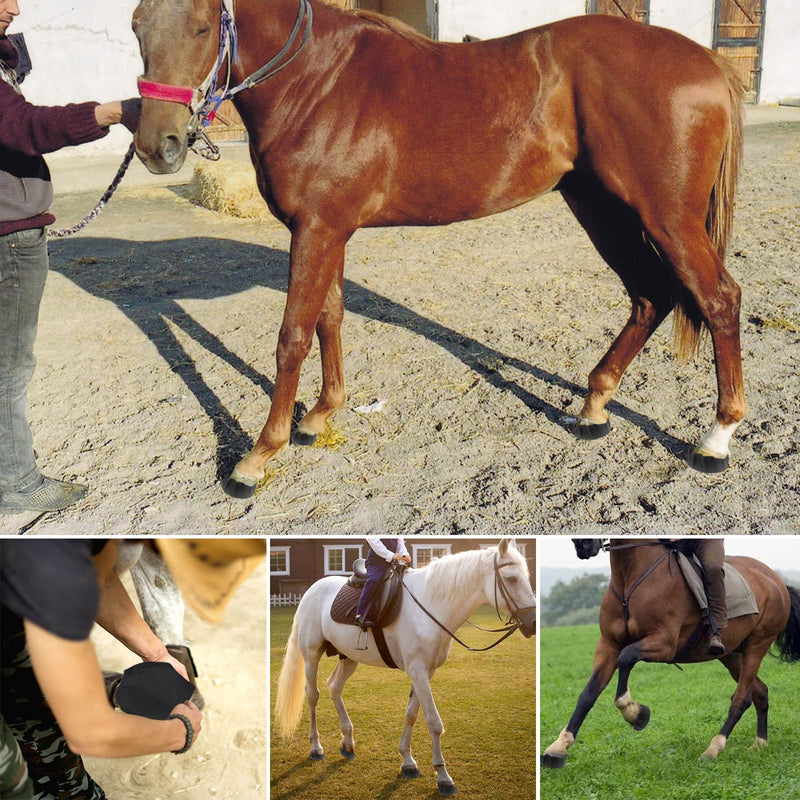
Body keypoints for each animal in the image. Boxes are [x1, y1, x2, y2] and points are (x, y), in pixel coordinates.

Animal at [132, 0, 747, 499]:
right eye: (137, 25)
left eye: (202, 27)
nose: (159, 147)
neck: (317, 81)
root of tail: (707, 63)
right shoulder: (326, 230)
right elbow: (330, 318)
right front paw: (321, 416)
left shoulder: (316, 230)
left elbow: (293, 338)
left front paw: (258, 456)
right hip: (600, 208)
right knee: (650, 295)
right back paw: (595, 407)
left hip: (667, 220)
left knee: (718, 299)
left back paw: (716, 439)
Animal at [273, 538, 536, 795]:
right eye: (512, 578)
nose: (533, 623)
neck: (431, 605)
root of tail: (312, 590)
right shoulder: (418, 671)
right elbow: (433, 721)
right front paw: (442, 776)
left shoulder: (425, 672)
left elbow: (411, 714)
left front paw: (408, 762)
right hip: (312, 655)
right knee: (313, 694)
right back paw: (316, 747)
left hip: (348, 657)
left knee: (334, 687)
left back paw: (347, 742)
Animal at [541, 539, 800, 767]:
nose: (583, 544)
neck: (631, 578)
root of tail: (777, 579)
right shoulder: (608, 645)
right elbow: (588, 694)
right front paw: (558, 748)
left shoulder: (664, 643)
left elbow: (627, 657)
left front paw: (635, 713)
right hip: (732, 655)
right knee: (760, 692)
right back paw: (760, 743)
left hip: (757, 646)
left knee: (741, 699)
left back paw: (713, 749)